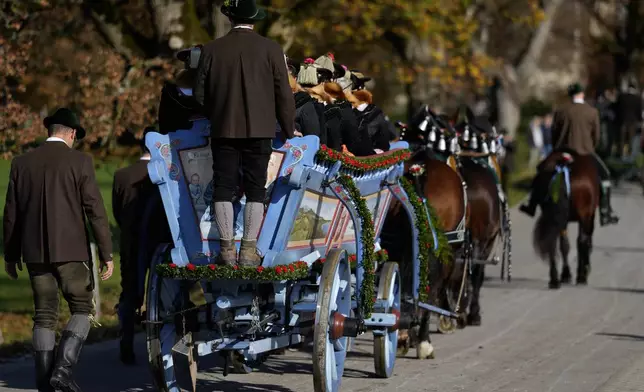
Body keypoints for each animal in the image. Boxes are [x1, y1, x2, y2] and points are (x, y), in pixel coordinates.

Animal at [528, 151, 600, 288]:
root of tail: (562, 167)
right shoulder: (588, 216)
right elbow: (584, 242)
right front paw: (583, 272)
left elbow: (563, 245)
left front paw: (566, 275)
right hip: (585, 215)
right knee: (582, 241)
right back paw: (581, 276)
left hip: (553, 217)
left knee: (553, 242)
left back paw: (555, 279)